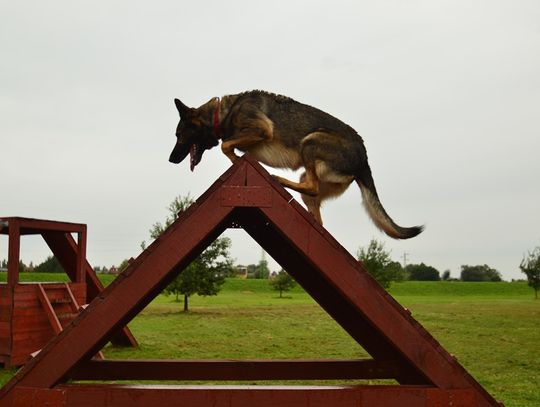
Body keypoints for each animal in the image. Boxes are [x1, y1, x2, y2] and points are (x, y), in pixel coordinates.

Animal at [169, 90, 422, 239]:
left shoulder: (262, 130)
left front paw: (236, 160)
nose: (170, 159)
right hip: (310, 178)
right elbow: (229, 146)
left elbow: (226, 146)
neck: (221, 114)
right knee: (315, 205)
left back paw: (278, 179)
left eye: (179, 135)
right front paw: (238, 160)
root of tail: (364, 159)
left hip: (310, 142)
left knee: (312, 185)